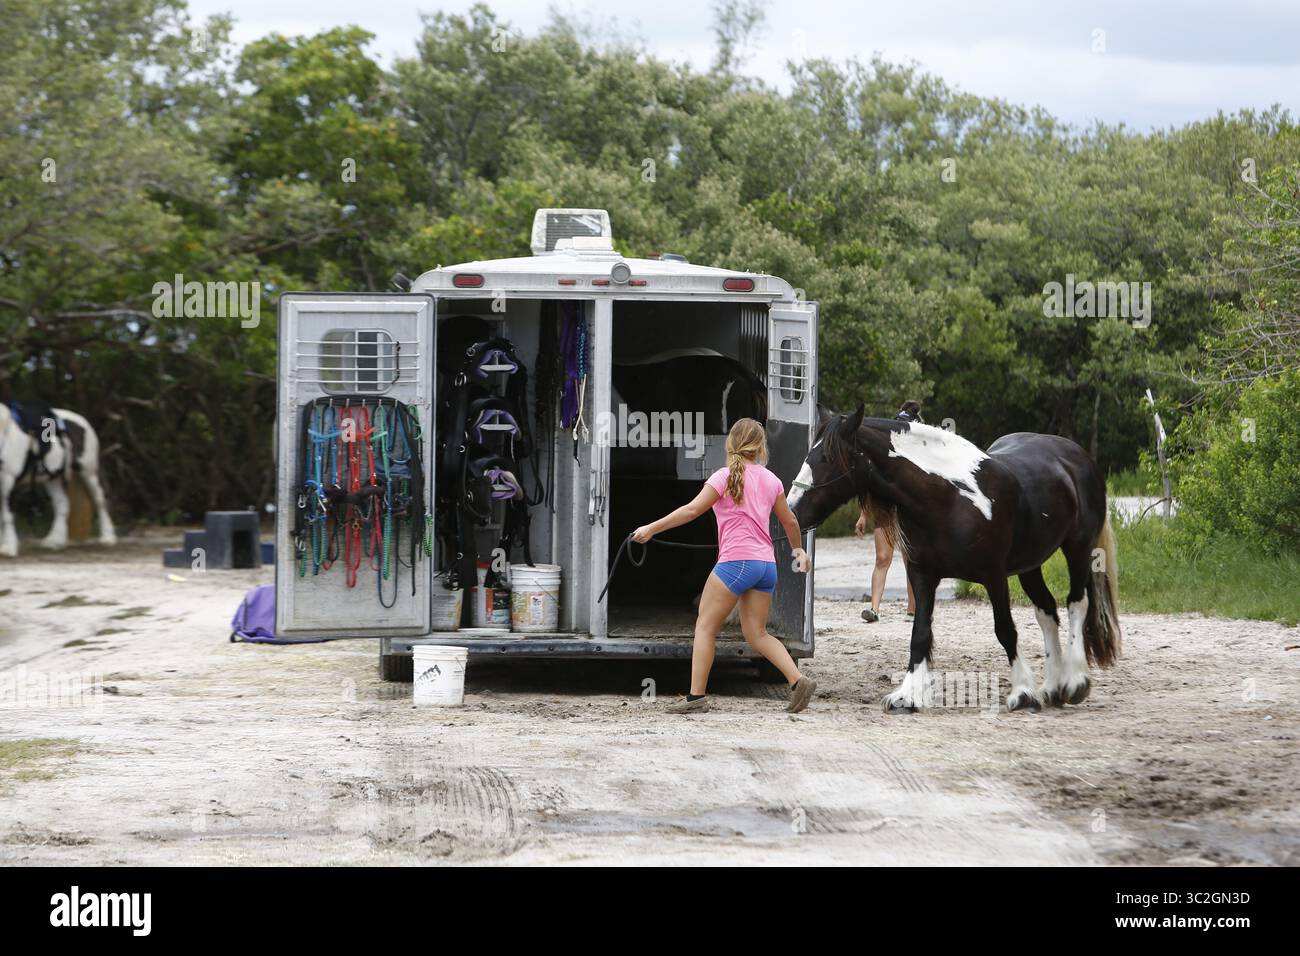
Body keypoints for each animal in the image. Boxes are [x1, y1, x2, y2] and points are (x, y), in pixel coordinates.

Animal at [0, 403, 116, 557]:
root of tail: (83, 422)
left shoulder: (8, 480)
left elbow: (7, 515)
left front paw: (9, 548)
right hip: (53, 478)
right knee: (62, 503)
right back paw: (54, 541)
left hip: (89, 471)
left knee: (101, 500)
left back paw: (108, 537)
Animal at [787, 404, 1120, 713]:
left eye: (827, 458)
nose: (792, 510)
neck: (947, 498)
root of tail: (1075, 454)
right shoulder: (922, 575)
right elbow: (920, 632)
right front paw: (908, 696)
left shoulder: (994, 576)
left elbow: (1005, 629)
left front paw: (1023, 692)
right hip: (1031, 564)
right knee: (1047, 611)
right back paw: (1051, 687)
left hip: (1078, 548)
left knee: (1076, 603)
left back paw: (1074, 683)